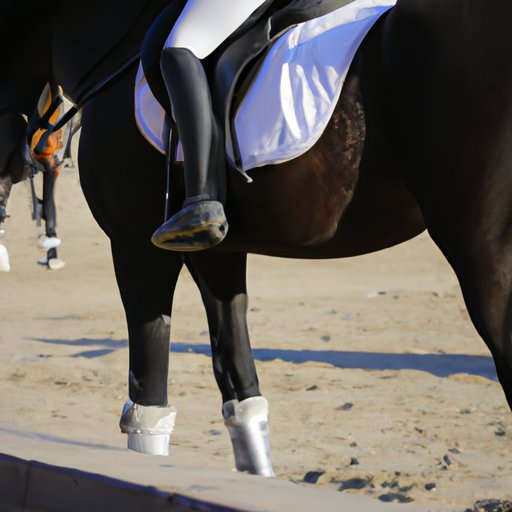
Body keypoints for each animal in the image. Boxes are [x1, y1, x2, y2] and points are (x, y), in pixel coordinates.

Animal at [4, 0, 512, 478]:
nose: (25, 158)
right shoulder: (217, 254)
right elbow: (238, 383)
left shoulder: (135, 247)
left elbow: (147, 404)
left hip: (483, 258)